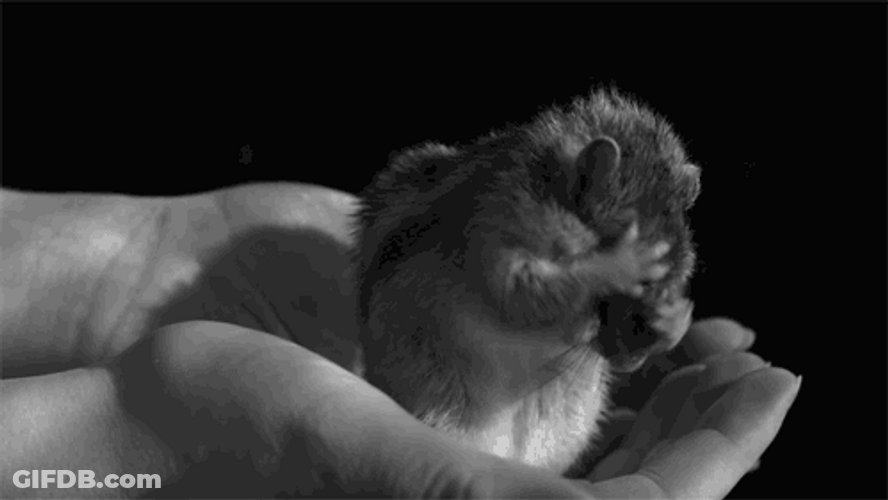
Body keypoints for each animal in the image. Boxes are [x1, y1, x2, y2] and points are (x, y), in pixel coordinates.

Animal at [351, 89, 701, 474]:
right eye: (620, 228)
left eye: (684, 267)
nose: (634, 353)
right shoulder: (500, 235)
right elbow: (524, 297)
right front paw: (623, 261)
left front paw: (675, 319)